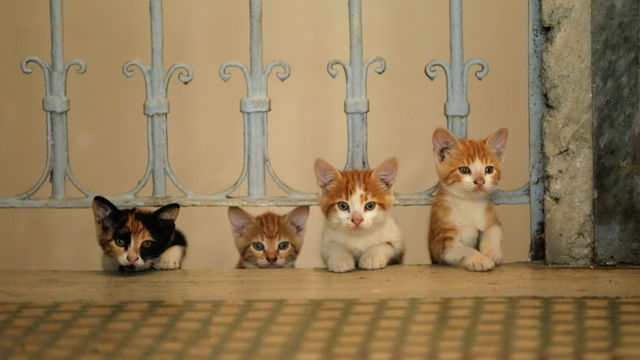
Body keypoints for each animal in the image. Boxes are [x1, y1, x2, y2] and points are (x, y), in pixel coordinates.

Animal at [428, 126, 508, 270]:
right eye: (464, 170)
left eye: (489, 169)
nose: (480, 181)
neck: (469, 203)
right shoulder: (441, 243)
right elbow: (465, 249)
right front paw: (480, 259)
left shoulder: (490, 216)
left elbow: (494, 230)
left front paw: (492, 252)